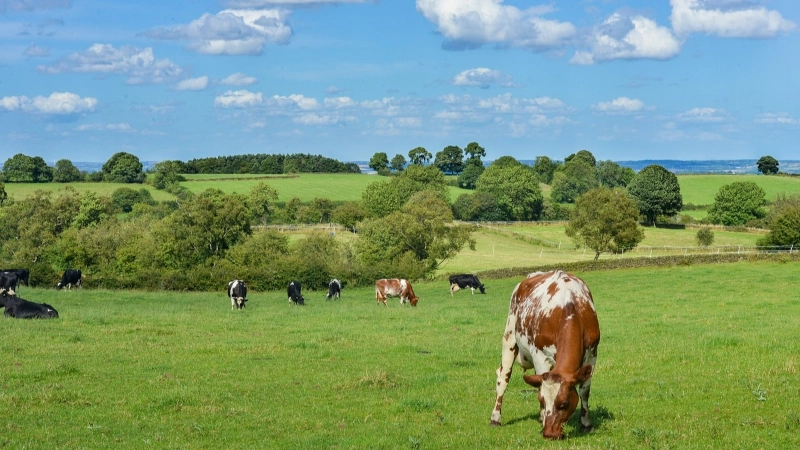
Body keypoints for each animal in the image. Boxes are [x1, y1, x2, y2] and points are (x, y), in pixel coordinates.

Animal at [488, 270, 600, 440]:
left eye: (564, 403)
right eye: (541, 400)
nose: (549, 434)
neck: (570, 307)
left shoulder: (592, 354)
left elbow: (584, 391)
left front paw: (586, 423)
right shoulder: (540, 356)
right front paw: (543, 418)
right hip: (509, 337)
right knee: (503, 378)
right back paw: (495, 418)